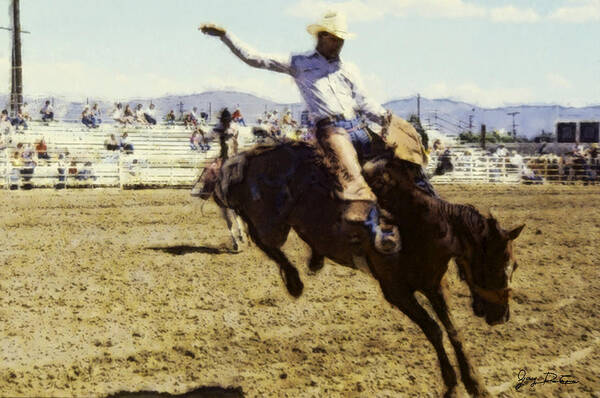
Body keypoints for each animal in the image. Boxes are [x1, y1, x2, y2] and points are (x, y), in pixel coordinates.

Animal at [198, 138, 524, 396]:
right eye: (494, 266)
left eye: (515, 265)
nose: (502, 316)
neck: (415, 223)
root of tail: (249, 156)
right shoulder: (396, 292)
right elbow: (434, 329)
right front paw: (451, 383)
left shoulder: (434, 284)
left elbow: (452, 329)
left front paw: (476, 383)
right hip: (272, 224)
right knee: (258, 234)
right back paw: (293, 280)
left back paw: (314, 259)